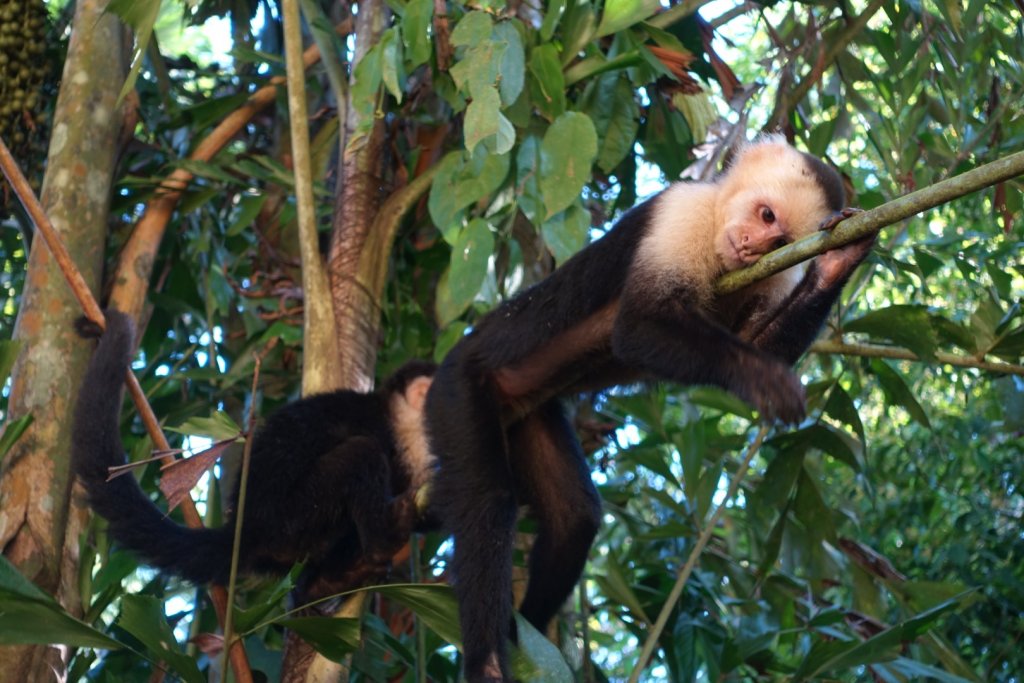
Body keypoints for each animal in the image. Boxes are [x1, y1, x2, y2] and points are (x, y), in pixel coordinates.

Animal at [423, 136, 880, 679]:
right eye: (765, 214)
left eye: (779, 239)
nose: (752, 245)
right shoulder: (681, 213)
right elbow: (638, 327)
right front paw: (764, 380)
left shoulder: (772, 276)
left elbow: (758, 340)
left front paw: (840, 261)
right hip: (456, 390)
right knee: (487, 506)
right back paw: (490, 661)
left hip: (526, 413)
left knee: (575, 517)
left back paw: (530, 631)